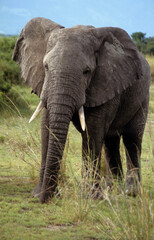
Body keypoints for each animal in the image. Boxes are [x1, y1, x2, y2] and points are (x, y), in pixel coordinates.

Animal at [12, 17, 151, 203]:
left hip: (143, 96)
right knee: (110, 141)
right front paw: (39, 193)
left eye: (87, 71)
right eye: (46, 66)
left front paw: (92, 197)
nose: (47, 198)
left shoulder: (104, 82)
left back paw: (131, 192)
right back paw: (113, 189)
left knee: (132, 138)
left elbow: (92, 133)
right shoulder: (45, 85)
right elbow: (46, 128)